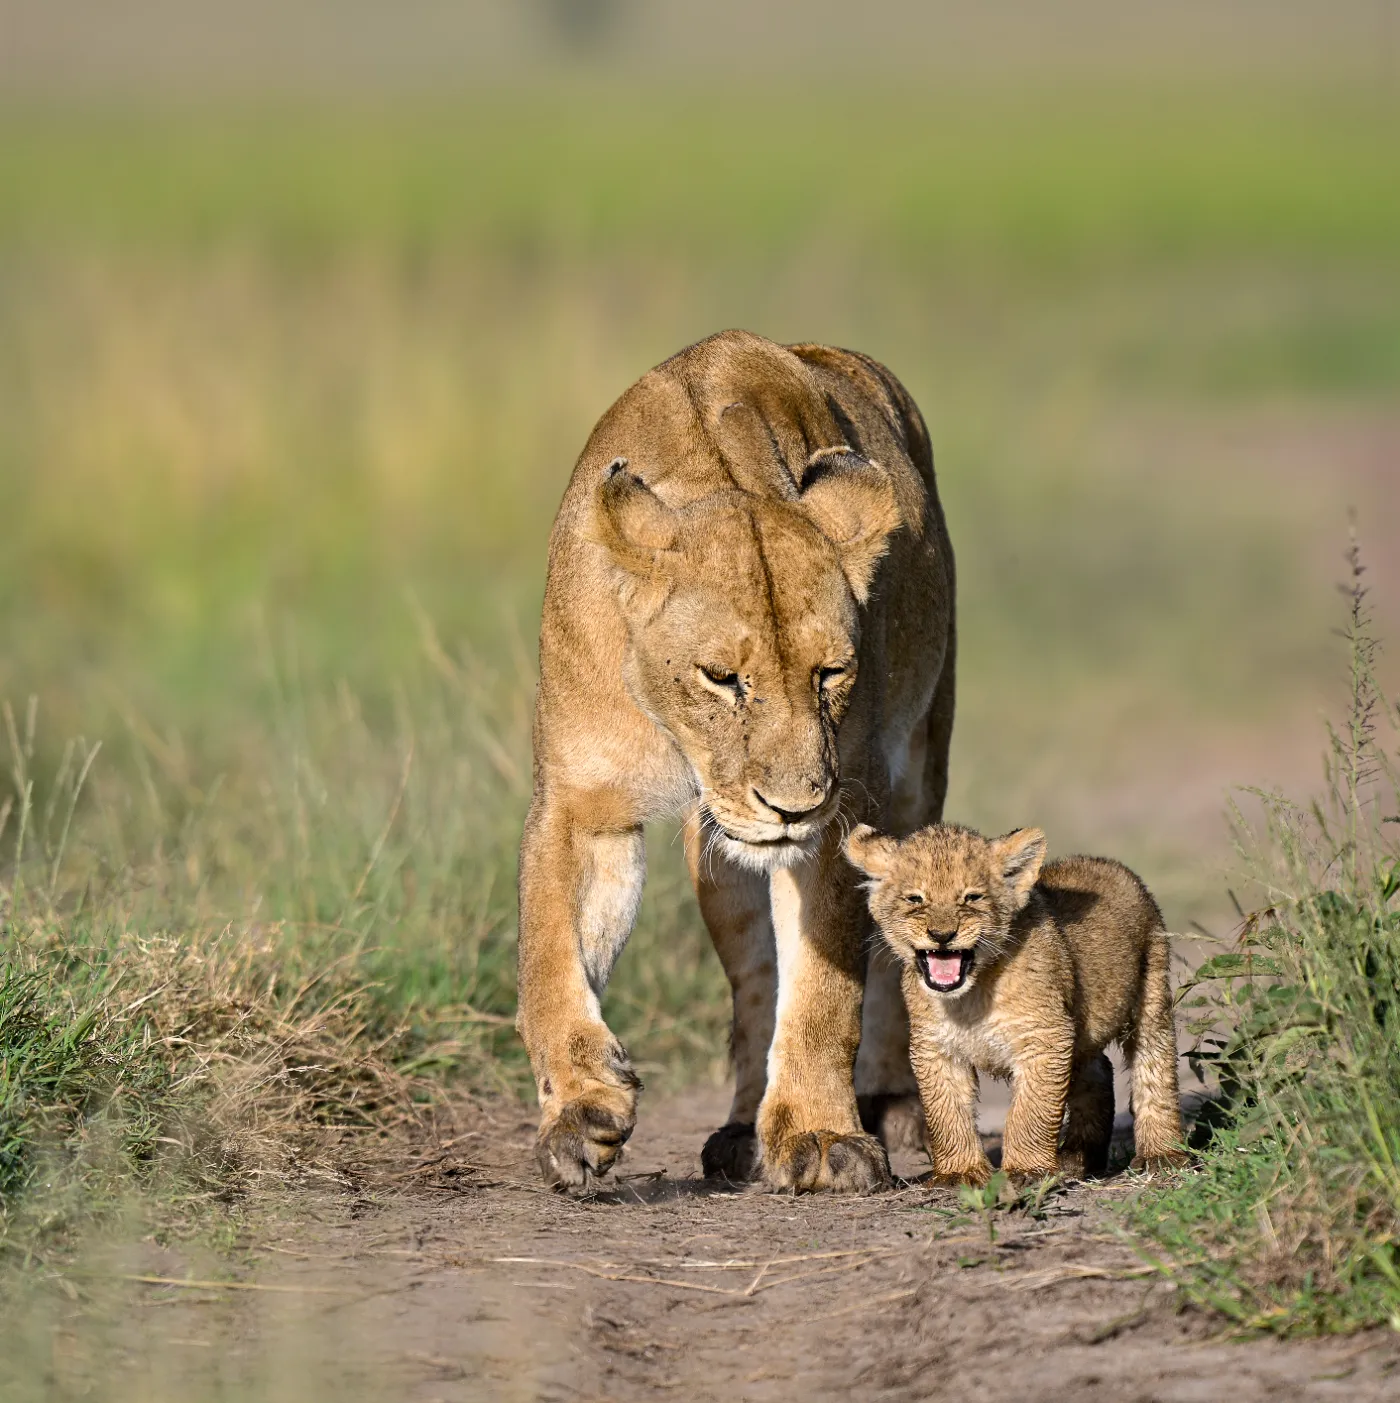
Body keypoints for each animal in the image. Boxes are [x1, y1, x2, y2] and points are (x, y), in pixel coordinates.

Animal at [515, 330, 956, 1192]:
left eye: (831, 672)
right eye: (722, 676)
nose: (793, 806)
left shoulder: (844, 812)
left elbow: (824, 991)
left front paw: (822, 1135)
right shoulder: (580, 798)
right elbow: (548, 953)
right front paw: (581, 1109)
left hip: (920, 764)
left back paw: (891, 1105)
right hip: (721, 865)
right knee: (755, 980)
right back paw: (741, 1131)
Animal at [844, 821, 1188, 1183]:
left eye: (972, 897)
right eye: (915, 898)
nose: (942, 935)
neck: (971, 996)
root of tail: (1106, 862)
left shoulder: (1045, 1036)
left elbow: (1030, 1111)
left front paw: (1026, 1170)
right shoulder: (937, 1047)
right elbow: (946, 1113)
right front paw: (959, 1173)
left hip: (1150, 994)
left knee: (1154, 1064)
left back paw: (1161, 1155)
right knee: (1097, 1070)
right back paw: (1077, 1158)